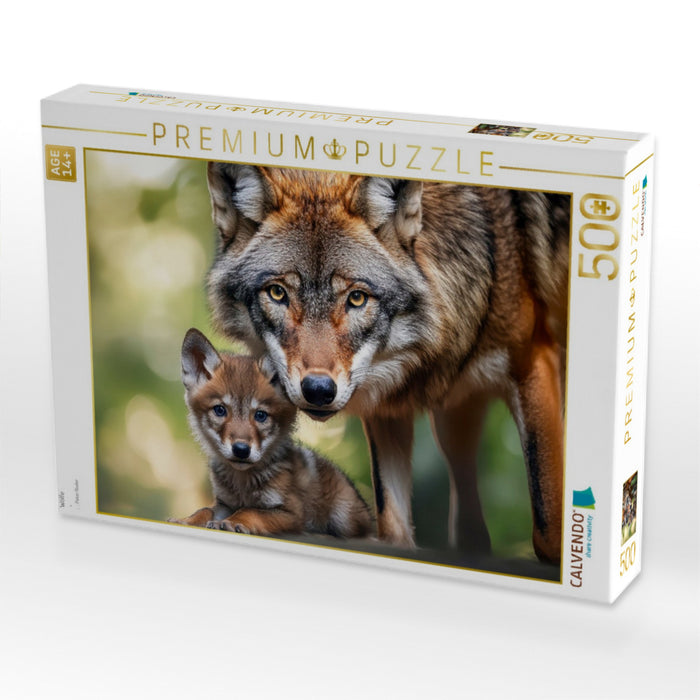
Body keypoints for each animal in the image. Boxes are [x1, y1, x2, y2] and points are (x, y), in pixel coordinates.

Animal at [170, 328, 372, 538]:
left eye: (260, 415)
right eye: (220, 410)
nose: (241, 450)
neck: (243, 485)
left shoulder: (291, 513)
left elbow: (250, 510)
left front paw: (232, 522)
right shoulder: (224, 503)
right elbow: (205, 510)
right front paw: (187, 520)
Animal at [205, 162, 570, 563]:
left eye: (357, 298)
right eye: (277, 293)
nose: (318, 390)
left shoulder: (533, 363)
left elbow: (549, 532)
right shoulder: (387, 410)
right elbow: (394, 530)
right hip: (456, 417)